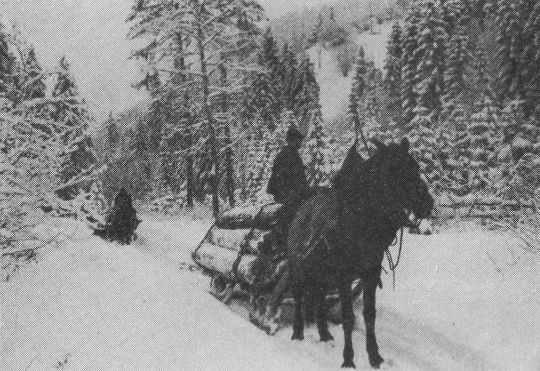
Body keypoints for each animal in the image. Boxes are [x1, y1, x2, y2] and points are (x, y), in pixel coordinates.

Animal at [256, 139, 434, 370]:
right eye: (395, 170)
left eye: (416, 166)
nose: (428, 203)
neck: (360, 224)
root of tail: (300, 208)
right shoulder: (343, 276)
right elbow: (347, 317)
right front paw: (348, 358)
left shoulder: (370, 274)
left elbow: (369, 316)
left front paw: (374, 355)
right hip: (297, 266)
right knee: (297, 295)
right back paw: (297, 331)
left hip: (321, 272)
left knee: (318, 296)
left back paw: (324, 333)